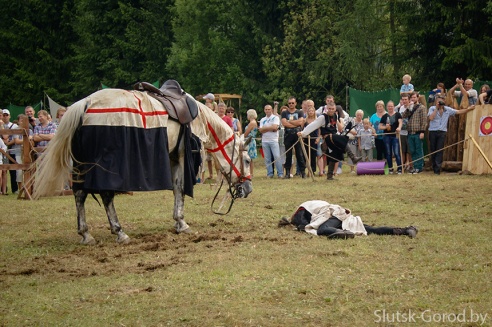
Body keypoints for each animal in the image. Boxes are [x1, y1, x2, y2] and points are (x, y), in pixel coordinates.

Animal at [32, 88, 252, 245]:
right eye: (247, 160)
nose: (248, 188)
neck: (199, 121)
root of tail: (85, 104)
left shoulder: (172, 157)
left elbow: (175, 189)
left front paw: (177, 222)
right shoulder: (182, 156)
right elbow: (181, 188)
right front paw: (182, 223)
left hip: (82, 166)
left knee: (79, 195)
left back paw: (86, 234)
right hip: (106, 167)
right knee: (106, 195)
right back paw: (119, 232)